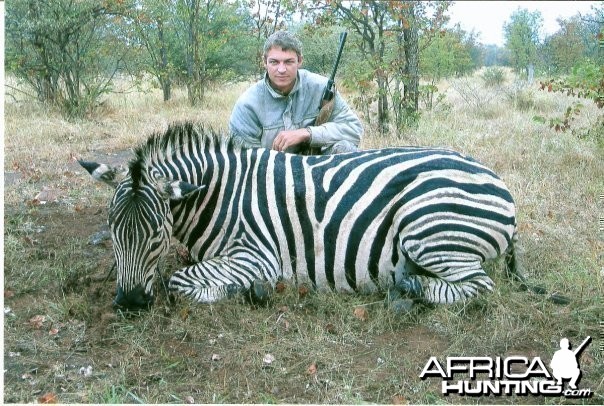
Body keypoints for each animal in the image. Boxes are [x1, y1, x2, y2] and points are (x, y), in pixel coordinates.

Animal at [80, 121, 524, 310]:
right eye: (113, 232)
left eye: (157, 235)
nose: (129, 303)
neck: (220, 196)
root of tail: (495, 177)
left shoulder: (256, 255)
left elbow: (178, 280)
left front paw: (246, 291)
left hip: (428, 230)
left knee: (480, 287)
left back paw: (410, 290)